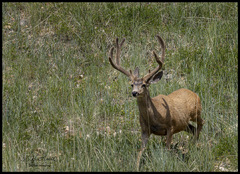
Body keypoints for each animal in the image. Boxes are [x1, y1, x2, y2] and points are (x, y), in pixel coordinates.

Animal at [109, 35, 204, 170]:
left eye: (144, 84)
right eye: (132, 84)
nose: (134, 93)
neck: (154, 116)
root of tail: (194, 93)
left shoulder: (171, 126)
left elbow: (167, 149)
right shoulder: (145, 131)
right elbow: (140, 152)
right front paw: (136, 167)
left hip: (196, 112)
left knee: (201, 123)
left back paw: (193, 146)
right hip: (184, 123)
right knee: (194, 129)